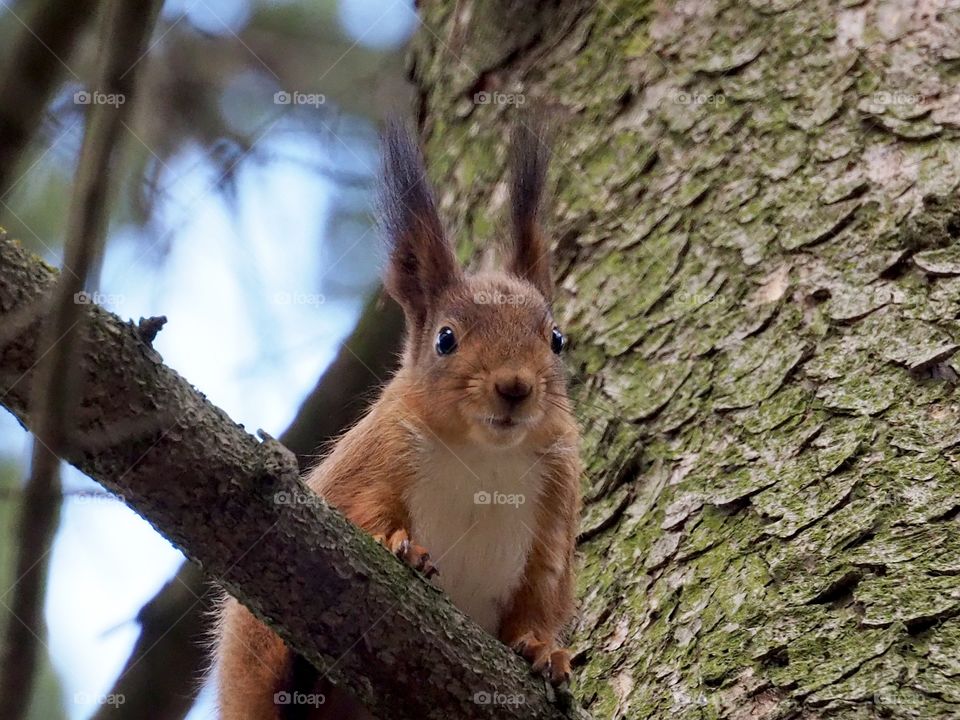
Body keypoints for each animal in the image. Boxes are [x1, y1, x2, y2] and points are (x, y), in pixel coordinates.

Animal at [214, 117, 582, 720]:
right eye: (445, 339)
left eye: (556, 339)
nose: (514, 388)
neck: (486, 455)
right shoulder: (375, 457)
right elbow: (361, 513)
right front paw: (402, 548)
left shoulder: (556, 504)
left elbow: (541, 598)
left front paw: (545, 651)